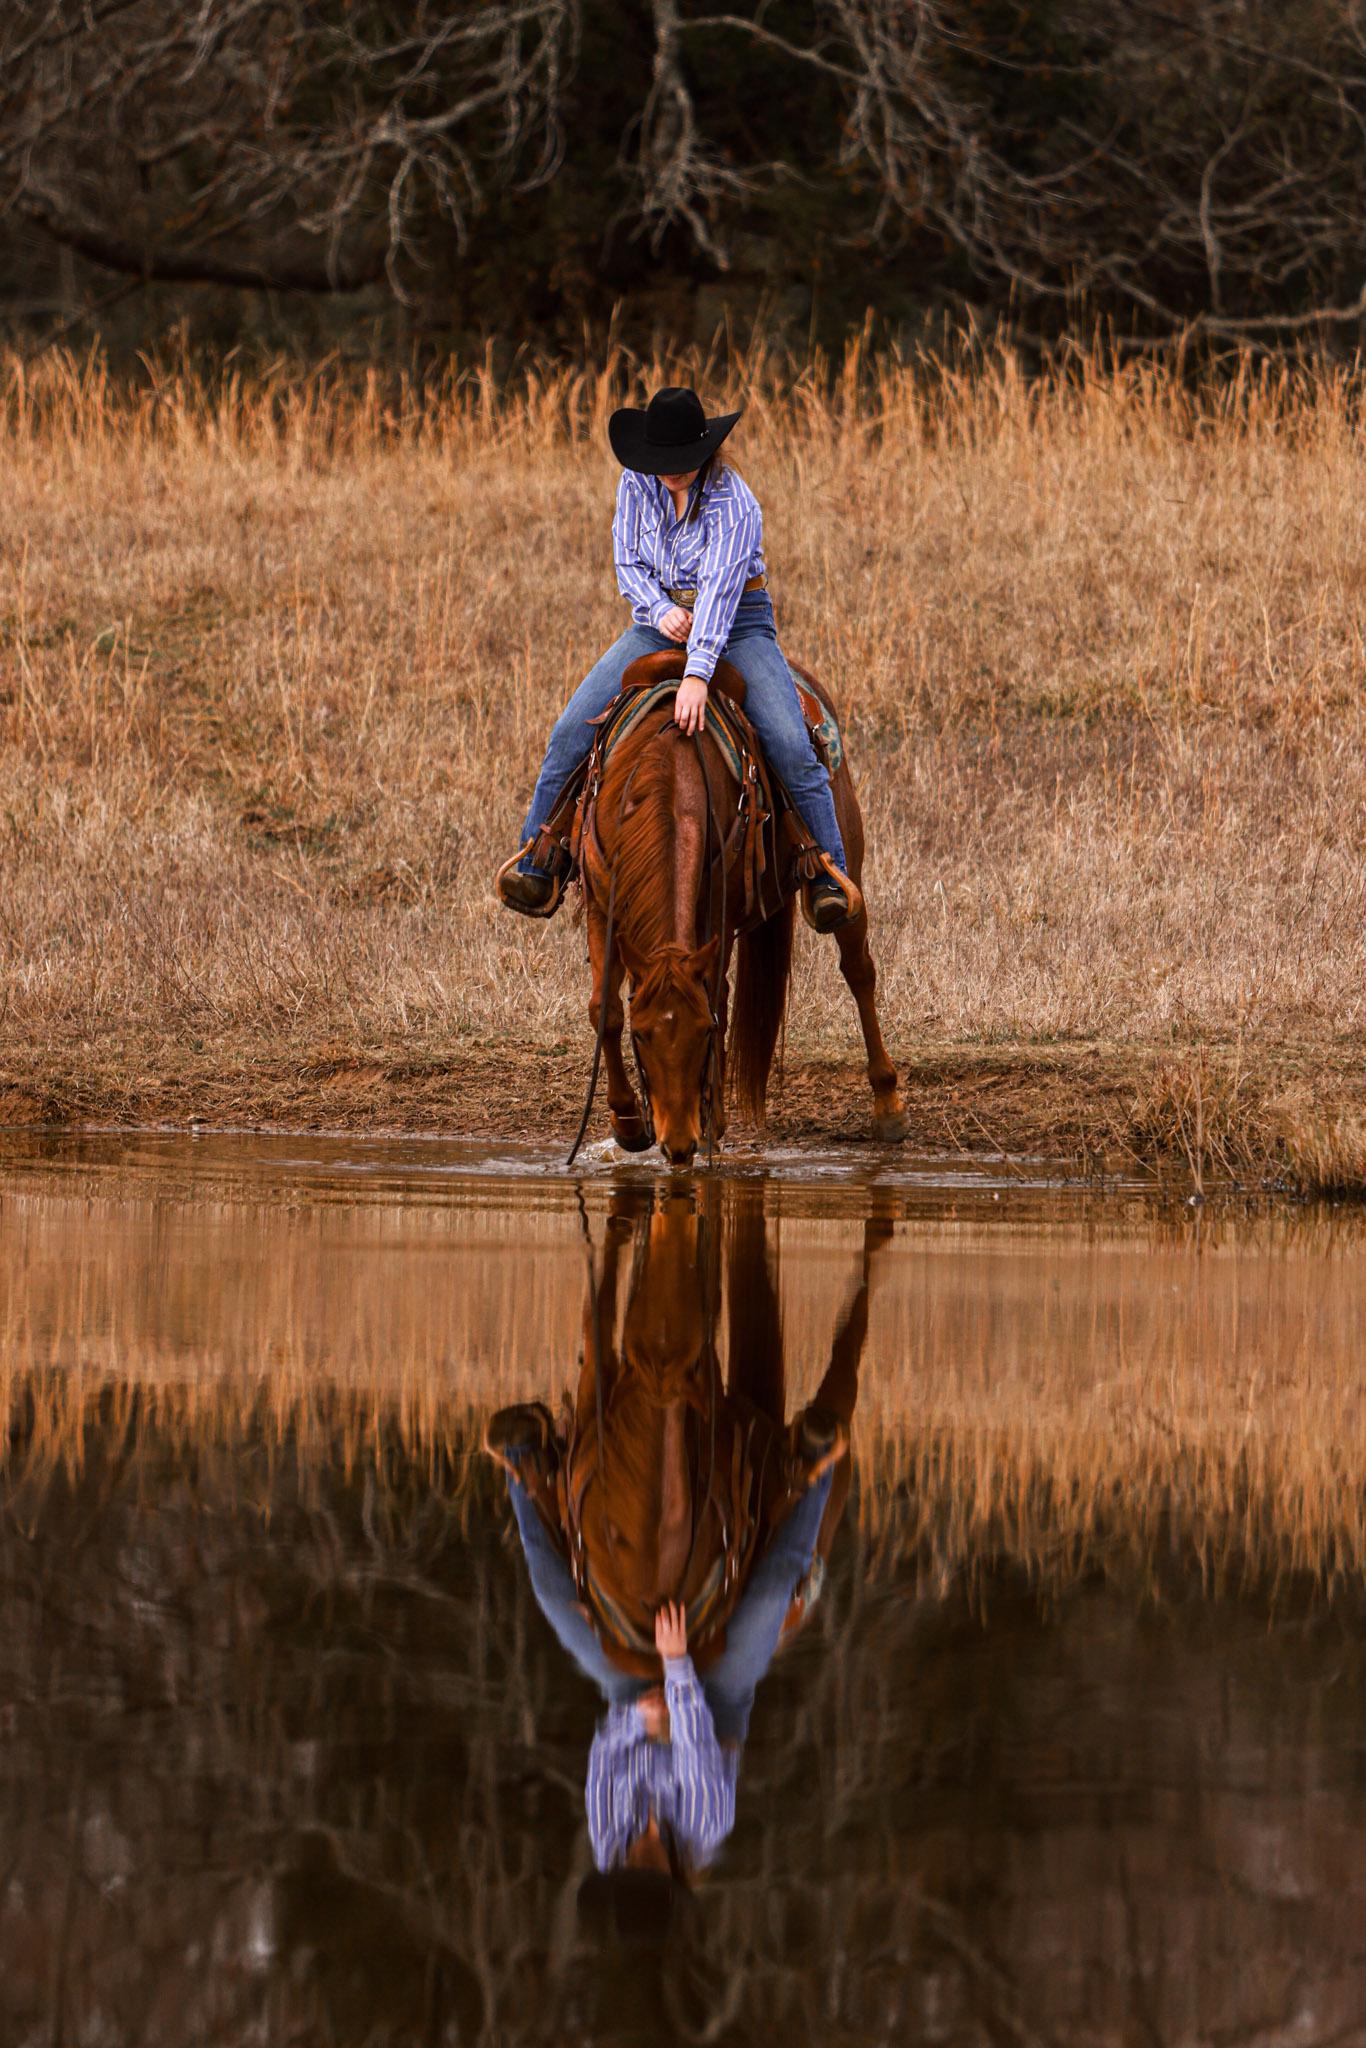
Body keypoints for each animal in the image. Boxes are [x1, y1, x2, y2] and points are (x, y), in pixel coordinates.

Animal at [575, 649, 907, 1166]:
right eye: (642, 1035)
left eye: (701, 1034)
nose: (678, 1145)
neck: (666, 776)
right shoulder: (600, 903)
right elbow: (605, 1009)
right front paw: (628, 1122)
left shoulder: (719, 909)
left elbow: (715, 1001)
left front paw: (705, 1120)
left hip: (846, 867)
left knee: (859, 971)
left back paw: (888, 1104)